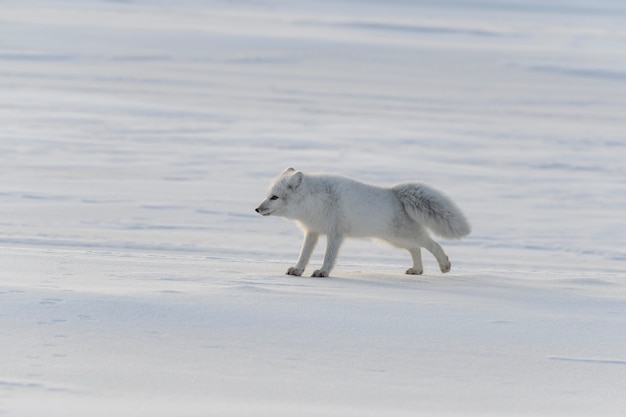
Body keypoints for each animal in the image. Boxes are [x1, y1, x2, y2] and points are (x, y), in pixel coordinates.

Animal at [254, 166, 468, 276]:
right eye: (267, 195)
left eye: (274, 197)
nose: (256, 209)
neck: (314, 201)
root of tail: (394, 193)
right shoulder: (312, 232)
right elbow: (303, 254)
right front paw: (298, 270)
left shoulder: (336, 233)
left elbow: (329, 256)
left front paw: (323, 272)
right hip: (395, 239)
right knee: (416, 249)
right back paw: (417, 270)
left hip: (402, 235)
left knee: (432, 244)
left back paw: (445, 265)